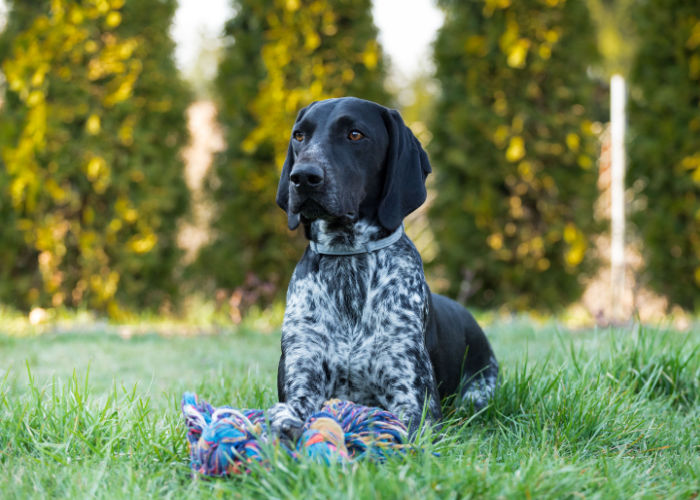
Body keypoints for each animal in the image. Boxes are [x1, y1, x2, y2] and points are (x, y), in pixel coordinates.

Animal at [270, 96, 498, 438]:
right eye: (299, 136)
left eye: (355, 135)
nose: (303, 177)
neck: (347, 259)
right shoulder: (302, 374)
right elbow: (286, 413)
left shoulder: (414, 400)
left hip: (480, 388)